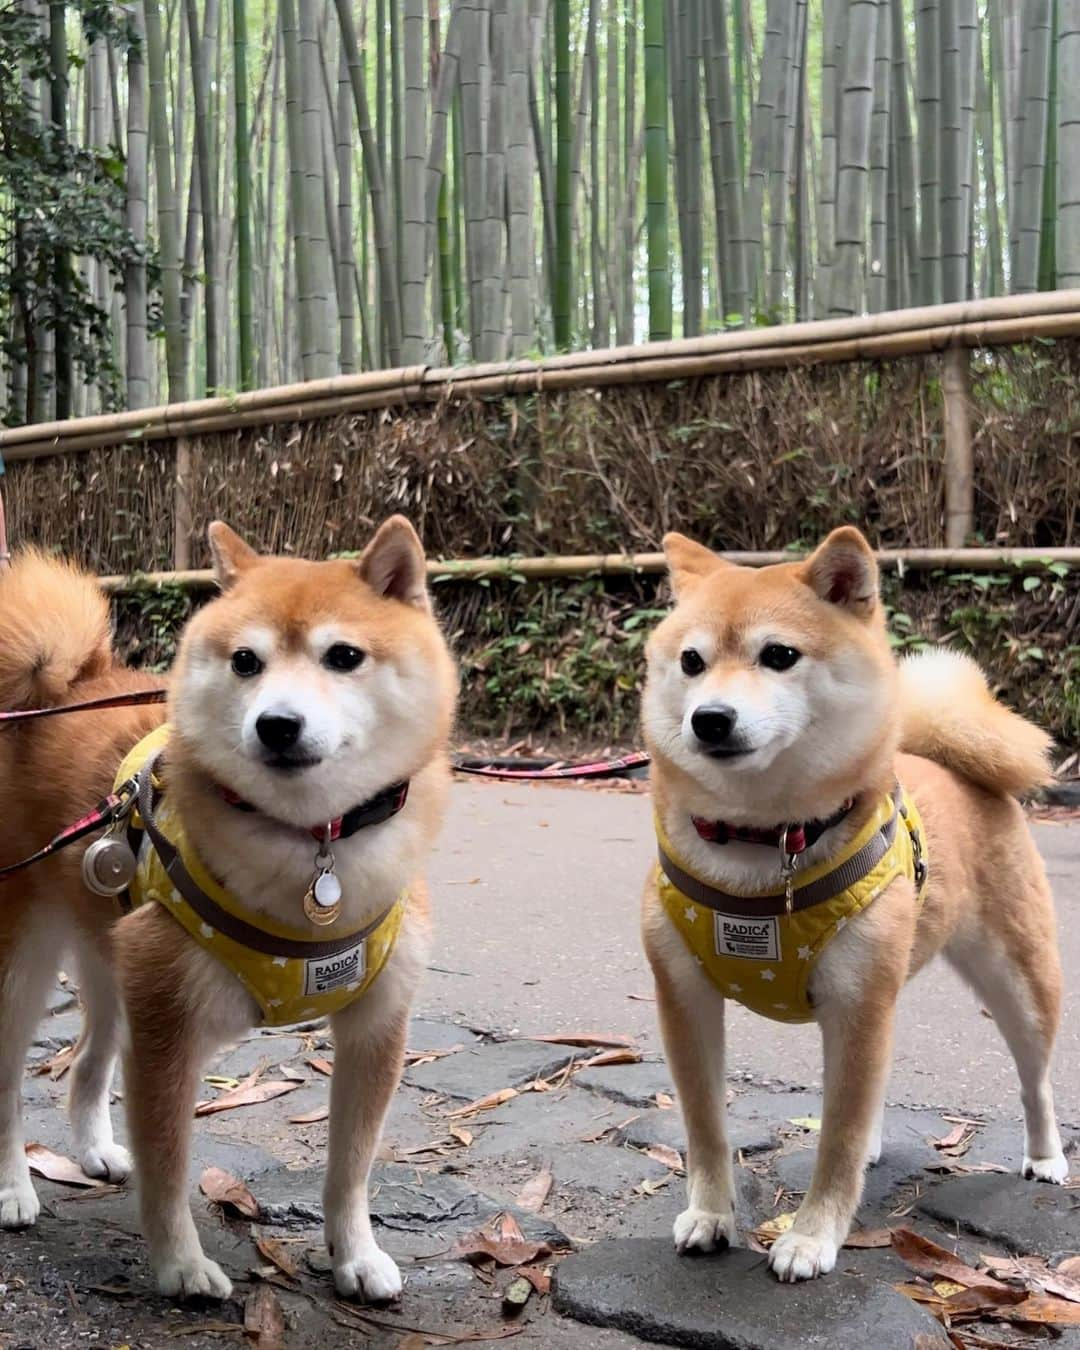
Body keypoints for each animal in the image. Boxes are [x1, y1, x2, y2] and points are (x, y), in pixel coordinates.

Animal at [0, 515, 456, 1296]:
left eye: (344, 656)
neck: (313, 844)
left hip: (111, 956)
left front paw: (355, 1254)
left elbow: (351, 1168)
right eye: (246, 661)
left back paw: (93, 1150)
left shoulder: (376, 1026)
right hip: (23, 969)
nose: (277, 723)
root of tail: (56, 690)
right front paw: (180, 1264)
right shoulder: (168, 1033)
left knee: (89, 1057)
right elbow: (168, 1166)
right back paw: (12, 1188)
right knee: (5, 1085)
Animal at [637, 521, 1069, 1279]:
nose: (710, 718)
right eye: (691, 661)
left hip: (1018, 980)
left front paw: (812, 1235)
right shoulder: (685, 999)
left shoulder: (857, 1002)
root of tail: (949, 762)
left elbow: (835, 1138)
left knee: (1034, 1076)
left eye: (779, 655)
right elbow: (706, 1126)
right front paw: (713, 1214)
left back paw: (1045, 1157)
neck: (761, 843)